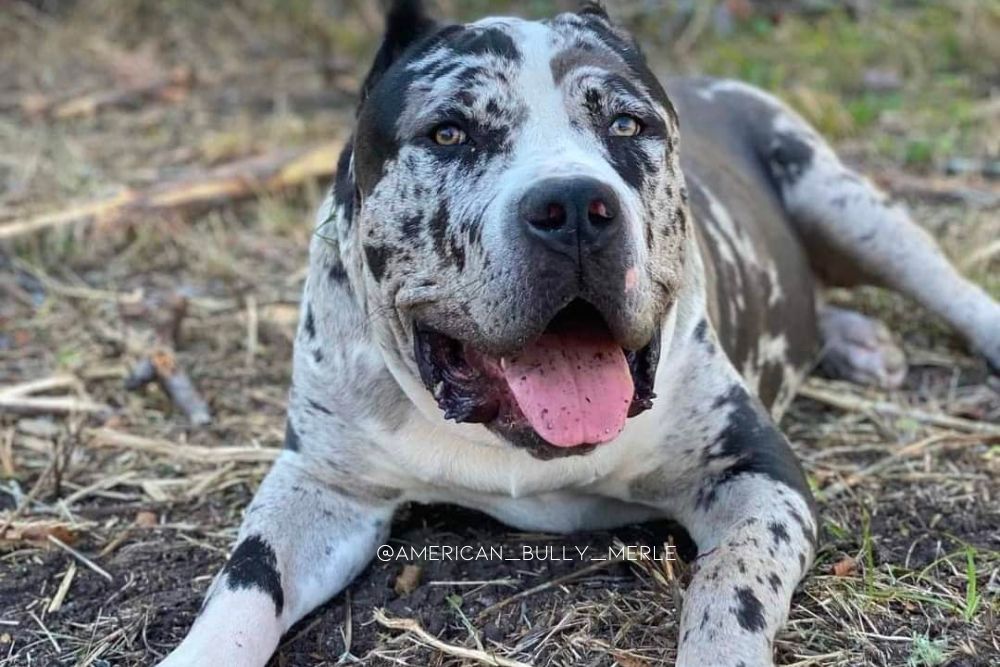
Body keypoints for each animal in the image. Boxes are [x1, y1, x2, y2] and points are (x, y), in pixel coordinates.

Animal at [158, 2, 1000, 664]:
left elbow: (729, 589)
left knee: (946, 286)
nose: (571, 207)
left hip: (844, 199)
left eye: (627, 123)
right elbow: (240, 587)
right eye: (450, 132)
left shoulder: (758, 475)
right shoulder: (321, 485)